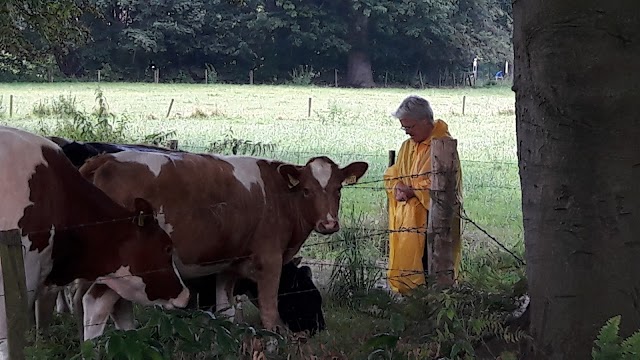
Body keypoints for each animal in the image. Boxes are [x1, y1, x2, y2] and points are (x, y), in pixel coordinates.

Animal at [75, 150, 368, 338]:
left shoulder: (228, 266)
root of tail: (105, 159)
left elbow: (226, 312)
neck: (279, 195)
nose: (328, 224)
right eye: (306, 190)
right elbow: (269, 314)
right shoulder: (270, 260)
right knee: (96, 305)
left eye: (338, 189)